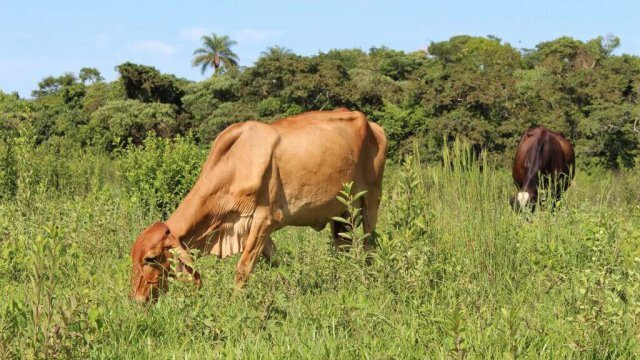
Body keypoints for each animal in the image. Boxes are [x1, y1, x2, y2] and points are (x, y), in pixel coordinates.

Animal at [131, 109, 388, 300]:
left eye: (150, 258)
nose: (137, 299)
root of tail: (373, 125)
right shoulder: (252, 229)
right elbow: (278, 262)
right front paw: (292, 291)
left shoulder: (265, 220)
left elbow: (243, 268)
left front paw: (233, 306)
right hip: (340, 211)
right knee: (342, 247)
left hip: (371, 199)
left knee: (369, 244)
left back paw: (370, 279)